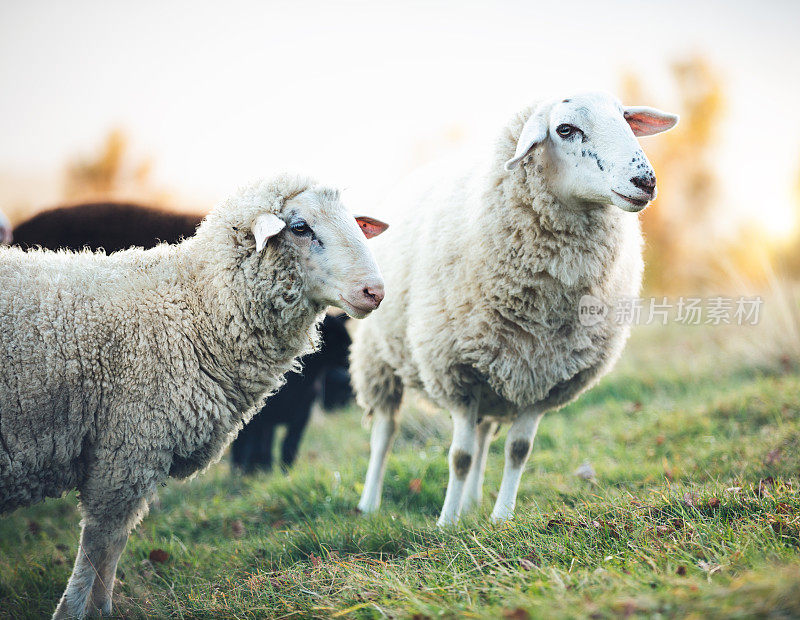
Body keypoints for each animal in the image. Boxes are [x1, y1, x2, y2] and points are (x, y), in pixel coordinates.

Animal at [350, 91, 676, 528]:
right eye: (565, 129)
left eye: (626, 120)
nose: (645, 181)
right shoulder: (457, 373)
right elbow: (459, 456)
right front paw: (446, 524)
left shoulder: (546, 376)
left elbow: (517, 451)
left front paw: (501, 518)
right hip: (378, 356)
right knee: (385, 432)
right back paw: (370, 504)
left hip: (497, 375)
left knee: (484, 435)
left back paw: (472, 503)